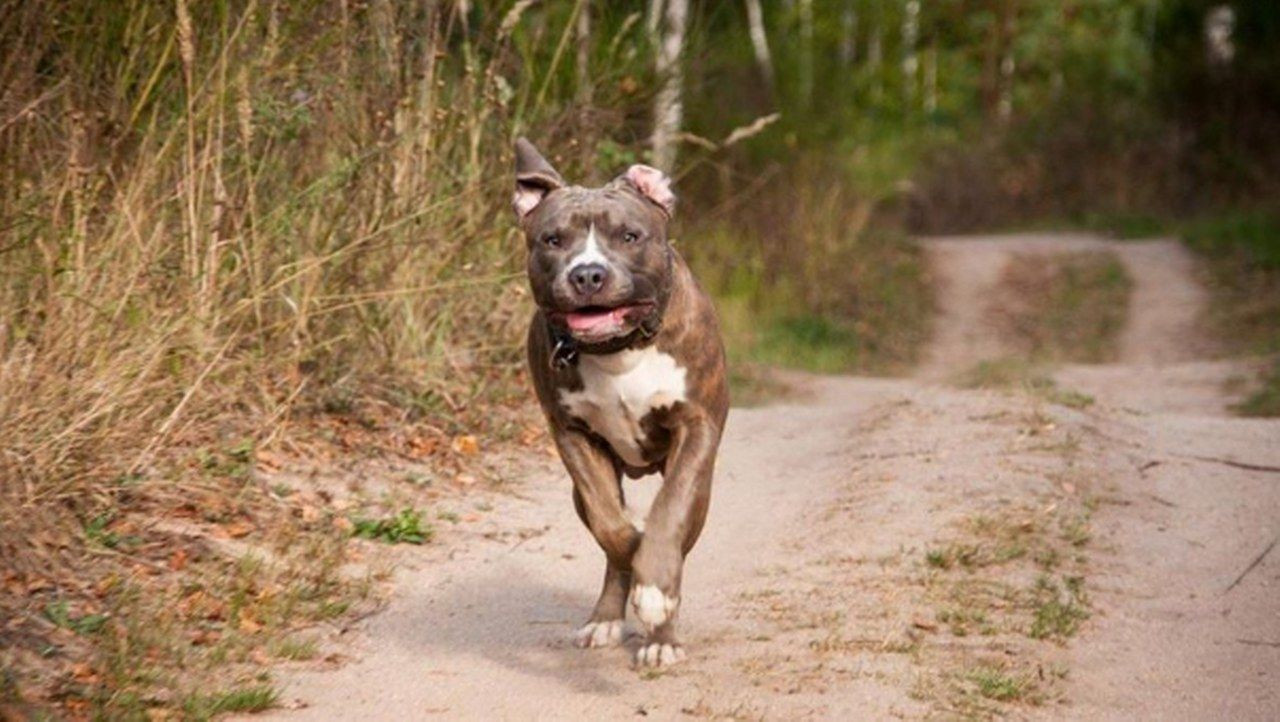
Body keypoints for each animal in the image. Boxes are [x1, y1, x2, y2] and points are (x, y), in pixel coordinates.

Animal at [512, 138, 732, 670]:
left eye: (630, 236)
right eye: (552, 240)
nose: (588, 274)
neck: (619, 350)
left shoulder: (695, 427)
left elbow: (669, 515)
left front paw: (655, 593)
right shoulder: (572, 435)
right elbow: (611, 525)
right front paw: (633, 550)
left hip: (703, 488)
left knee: (678, 532)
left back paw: (661, 635)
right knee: (608, 535)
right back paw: (607, 617)